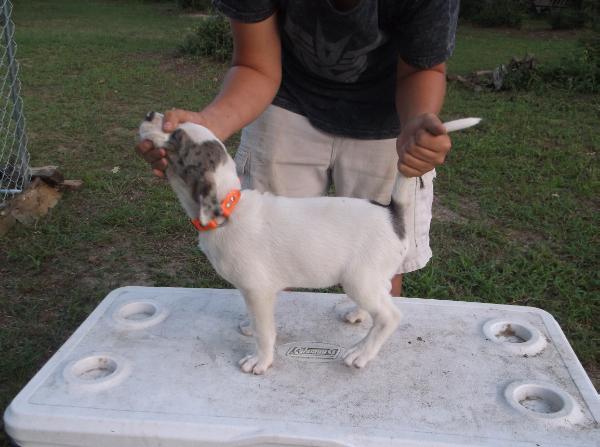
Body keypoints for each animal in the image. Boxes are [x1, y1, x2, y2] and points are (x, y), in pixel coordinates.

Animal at [141, 112, 410, 374]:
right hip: (371, 279)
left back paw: (362, 352)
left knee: (390, 316)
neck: (230, 206)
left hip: (359, 280)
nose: (150, 115)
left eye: (176, 136)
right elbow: (257, 321)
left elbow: (264, 332)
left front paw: (261, 360)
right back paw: (358, 314)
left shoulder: (257, 290)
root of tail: (390, 213)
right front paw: (250, 327)